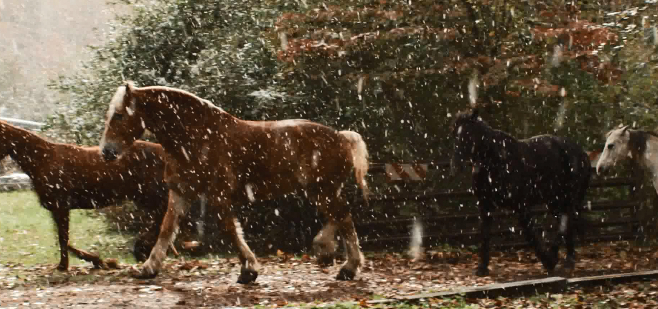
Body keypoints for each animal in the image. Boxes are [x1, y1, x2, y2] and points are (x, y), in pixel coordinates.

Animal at [0, 120, 172, 270]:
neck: (41, 159)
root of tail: (163, 152)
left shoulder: (61, 206)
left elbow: (63, 238)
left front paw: (65, 265)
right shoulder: (56, 208)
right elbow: (62, 239)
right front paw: (98, 260)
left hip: (154, 198)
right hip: (147, 200)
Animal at [100, 81, 372, 282]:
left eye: (120, 115)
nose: (106, 152)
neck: (196, 136)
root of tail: (341, 137)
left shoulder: (217, 195)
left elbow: (230, 229)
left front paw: (248, 271)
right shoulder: (181, 192)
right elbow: (167, 228)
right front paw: (148, 269)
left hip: (325, 190)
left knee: (345, 218)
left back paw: (347, 269)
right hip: (318, 190)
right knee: (340, 217)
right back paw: (327, 250)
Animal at [448, 108, 588, 274]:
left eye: (469, 133)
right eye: (454, 134)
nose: (455, 166)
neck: (495, 161)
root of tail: (580, 151)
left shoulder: (520, 206)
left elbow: (530, 234)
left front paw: (548, 262)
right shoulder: (485, 205)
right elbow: (485, 234)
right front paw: (482, 268)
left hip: (566, 198)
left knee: (565, 222)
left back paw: (558, 258)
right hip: (554, 201)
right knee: (566, 224)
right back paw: (567, 260)